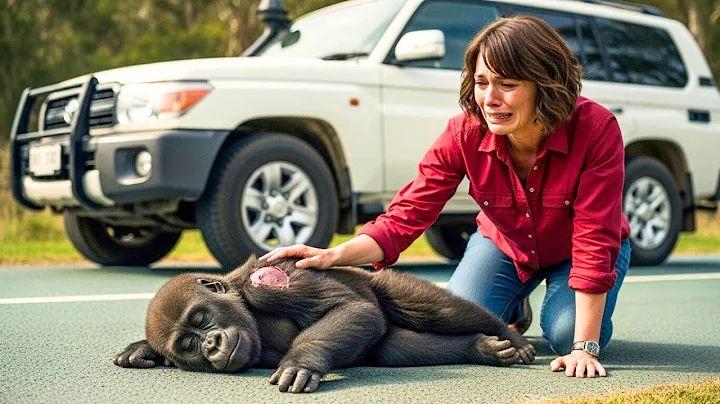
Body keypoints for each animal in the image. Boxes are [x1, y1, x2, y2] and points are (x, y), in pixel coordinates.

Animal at [114, 256, 536, 393]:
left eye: (202, 319)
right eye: (187, 345)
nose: (211, 344)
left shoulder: (266, 284)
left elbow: (351, 308)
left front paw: (302, 361)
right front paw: (139, 351)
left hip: (382, 282)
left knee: (435, 310)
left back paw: (507, 334)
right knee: (397, 348)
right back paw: (480, 346)